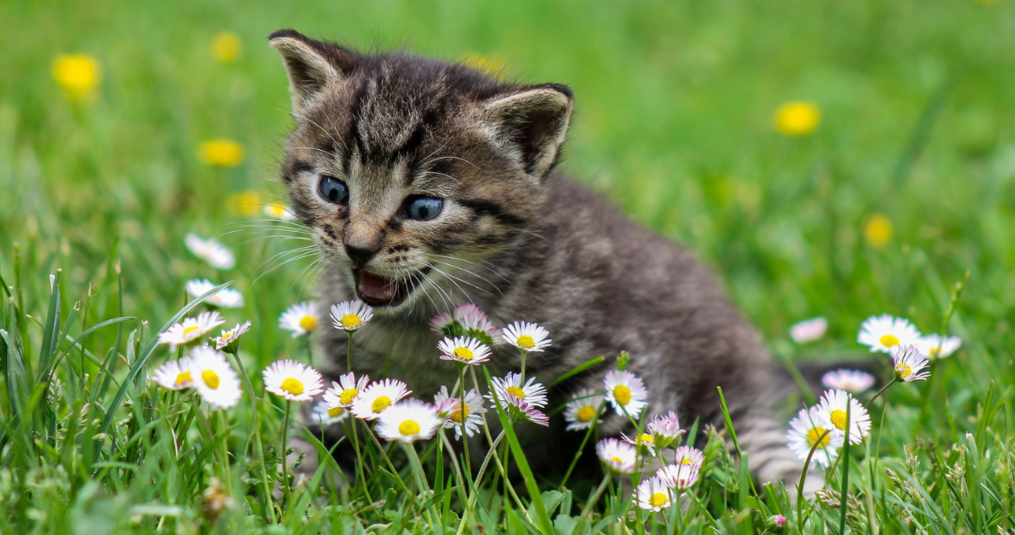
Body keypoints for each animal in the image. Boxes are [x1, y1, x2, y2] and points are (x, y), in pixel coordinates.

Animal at [267, 28, 816, 489]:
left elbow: (641, 449)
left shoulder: (622, 360)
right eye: (333, 189)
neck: (420, 325)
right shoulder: (341, 379)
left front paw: (652, 507)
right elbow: (305, 444)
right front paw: (303, 493)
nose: (358, 247)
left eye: (423, 208)